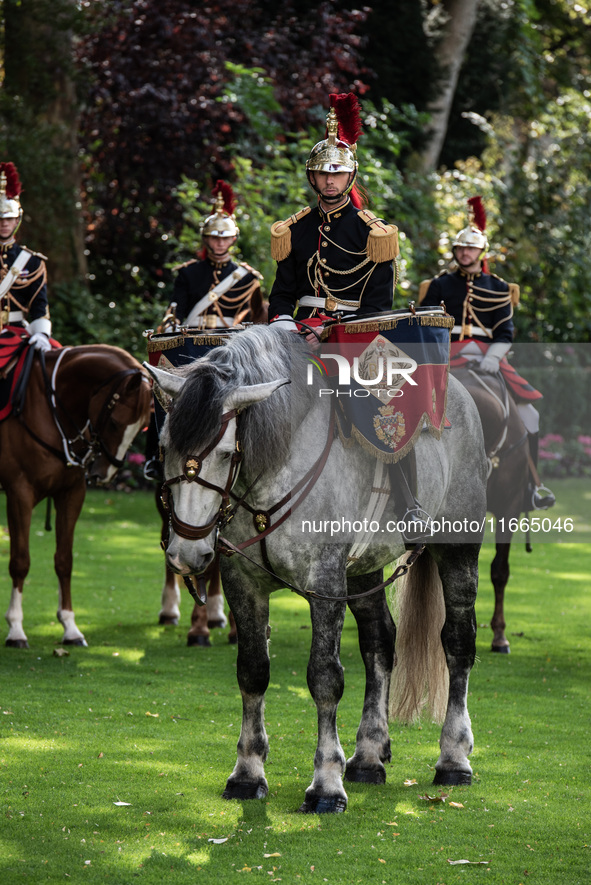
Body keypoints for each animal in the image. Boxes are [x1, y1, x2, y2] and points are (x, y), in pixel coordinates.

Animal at [1, 342, 153, 644]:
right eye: (115, 422)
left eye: (140, 429)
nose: (105, 473)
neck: (49, 409)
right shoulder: (19, 494)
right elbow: (20, 561)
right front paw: (15, 628)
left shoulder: (71, 494)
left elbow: (64, 560)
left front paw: (69, 626)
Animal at [146, 326, 488, 816]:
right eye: (164, 446)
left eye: (227, 452)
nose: (187, 552)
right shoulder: (242, 582)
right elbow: (252, 670)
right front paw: (248, 773)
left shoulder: (325, 582)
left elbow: (325, 677)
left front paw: (326, 782)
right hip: (363, 569)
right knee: (380, 642)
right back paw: (369, 755)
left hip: (458, 547)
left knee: (458, 642)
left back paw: (454, 757)